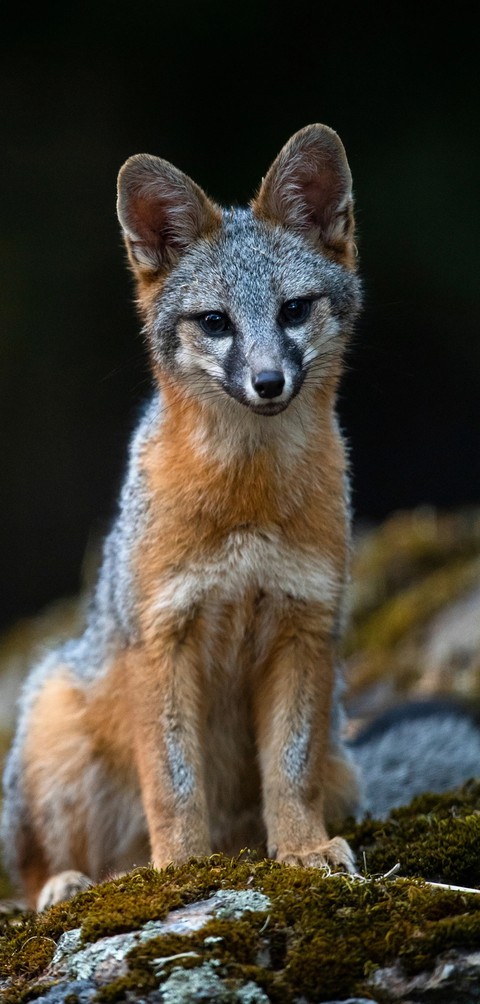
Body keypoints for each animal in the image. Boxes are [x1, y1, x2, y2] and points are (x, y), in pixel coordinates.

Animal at [2, 123, 364, 911]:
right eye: (216, 323)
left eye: (293, 311)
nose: (268, 382)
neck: (246, 502)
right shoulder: (163, 638)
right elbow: (173, 782)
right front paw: (184, 872)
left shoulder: (305, 627)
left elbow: (291, 771)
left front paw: (302, 851)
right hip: (54, 735)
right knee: (41, 868)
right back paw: (72, 885)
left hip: (346, 762)